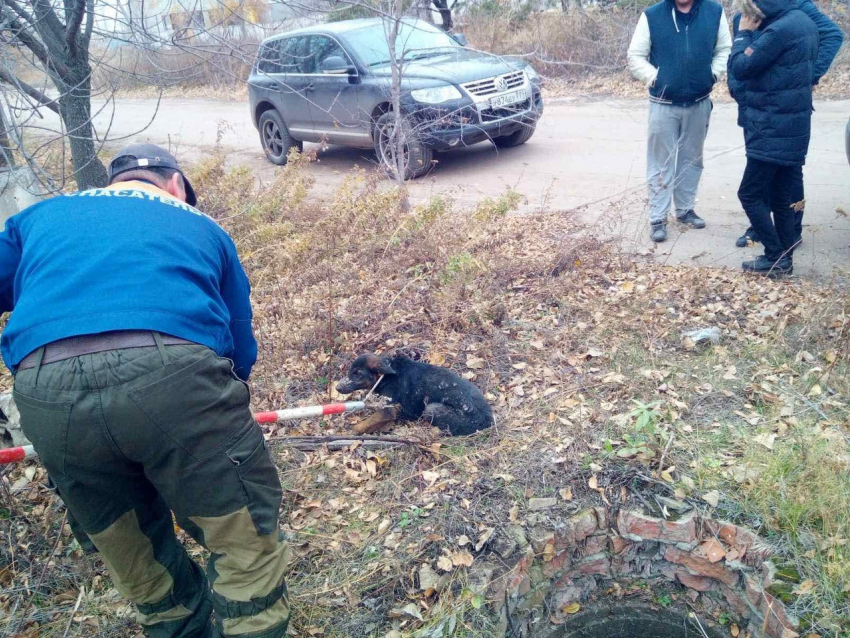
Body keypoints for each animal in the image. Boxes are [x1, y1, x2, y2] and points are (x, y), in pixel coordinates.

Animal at [336, 352, 494, 438]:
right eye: (350, 371)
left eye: (358, 373)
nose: (337, 387)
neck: (385, 377)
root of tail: (489, 421)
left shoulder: (389, 410)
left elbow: (367, 422)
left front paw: (352, 431)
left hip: (431, 409)